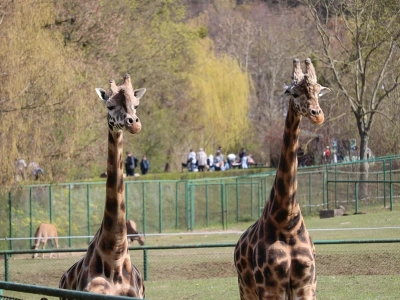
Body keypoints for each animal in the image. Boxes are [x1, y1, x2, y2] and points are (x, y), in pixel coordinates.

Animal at [233, 58, 330, 300]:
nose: (317, 114)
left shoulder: (306, 285)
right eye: (294, 93)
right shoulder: (270, 287)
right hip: (246, 290)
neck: (287, 222)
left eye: (318, 92)